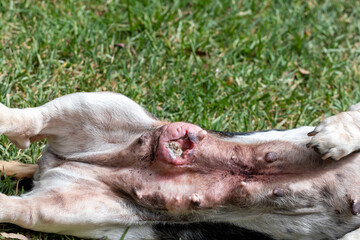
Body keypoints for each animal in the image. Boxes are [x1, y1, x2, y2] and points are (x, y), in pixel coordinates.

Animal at [0, 92, 358, 240]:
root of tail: (52, 165)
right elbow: (353, 118)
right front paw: (334, 135)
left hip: (73, 209)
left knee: (17, 207)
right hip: (99, 106)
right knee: (30, 118)